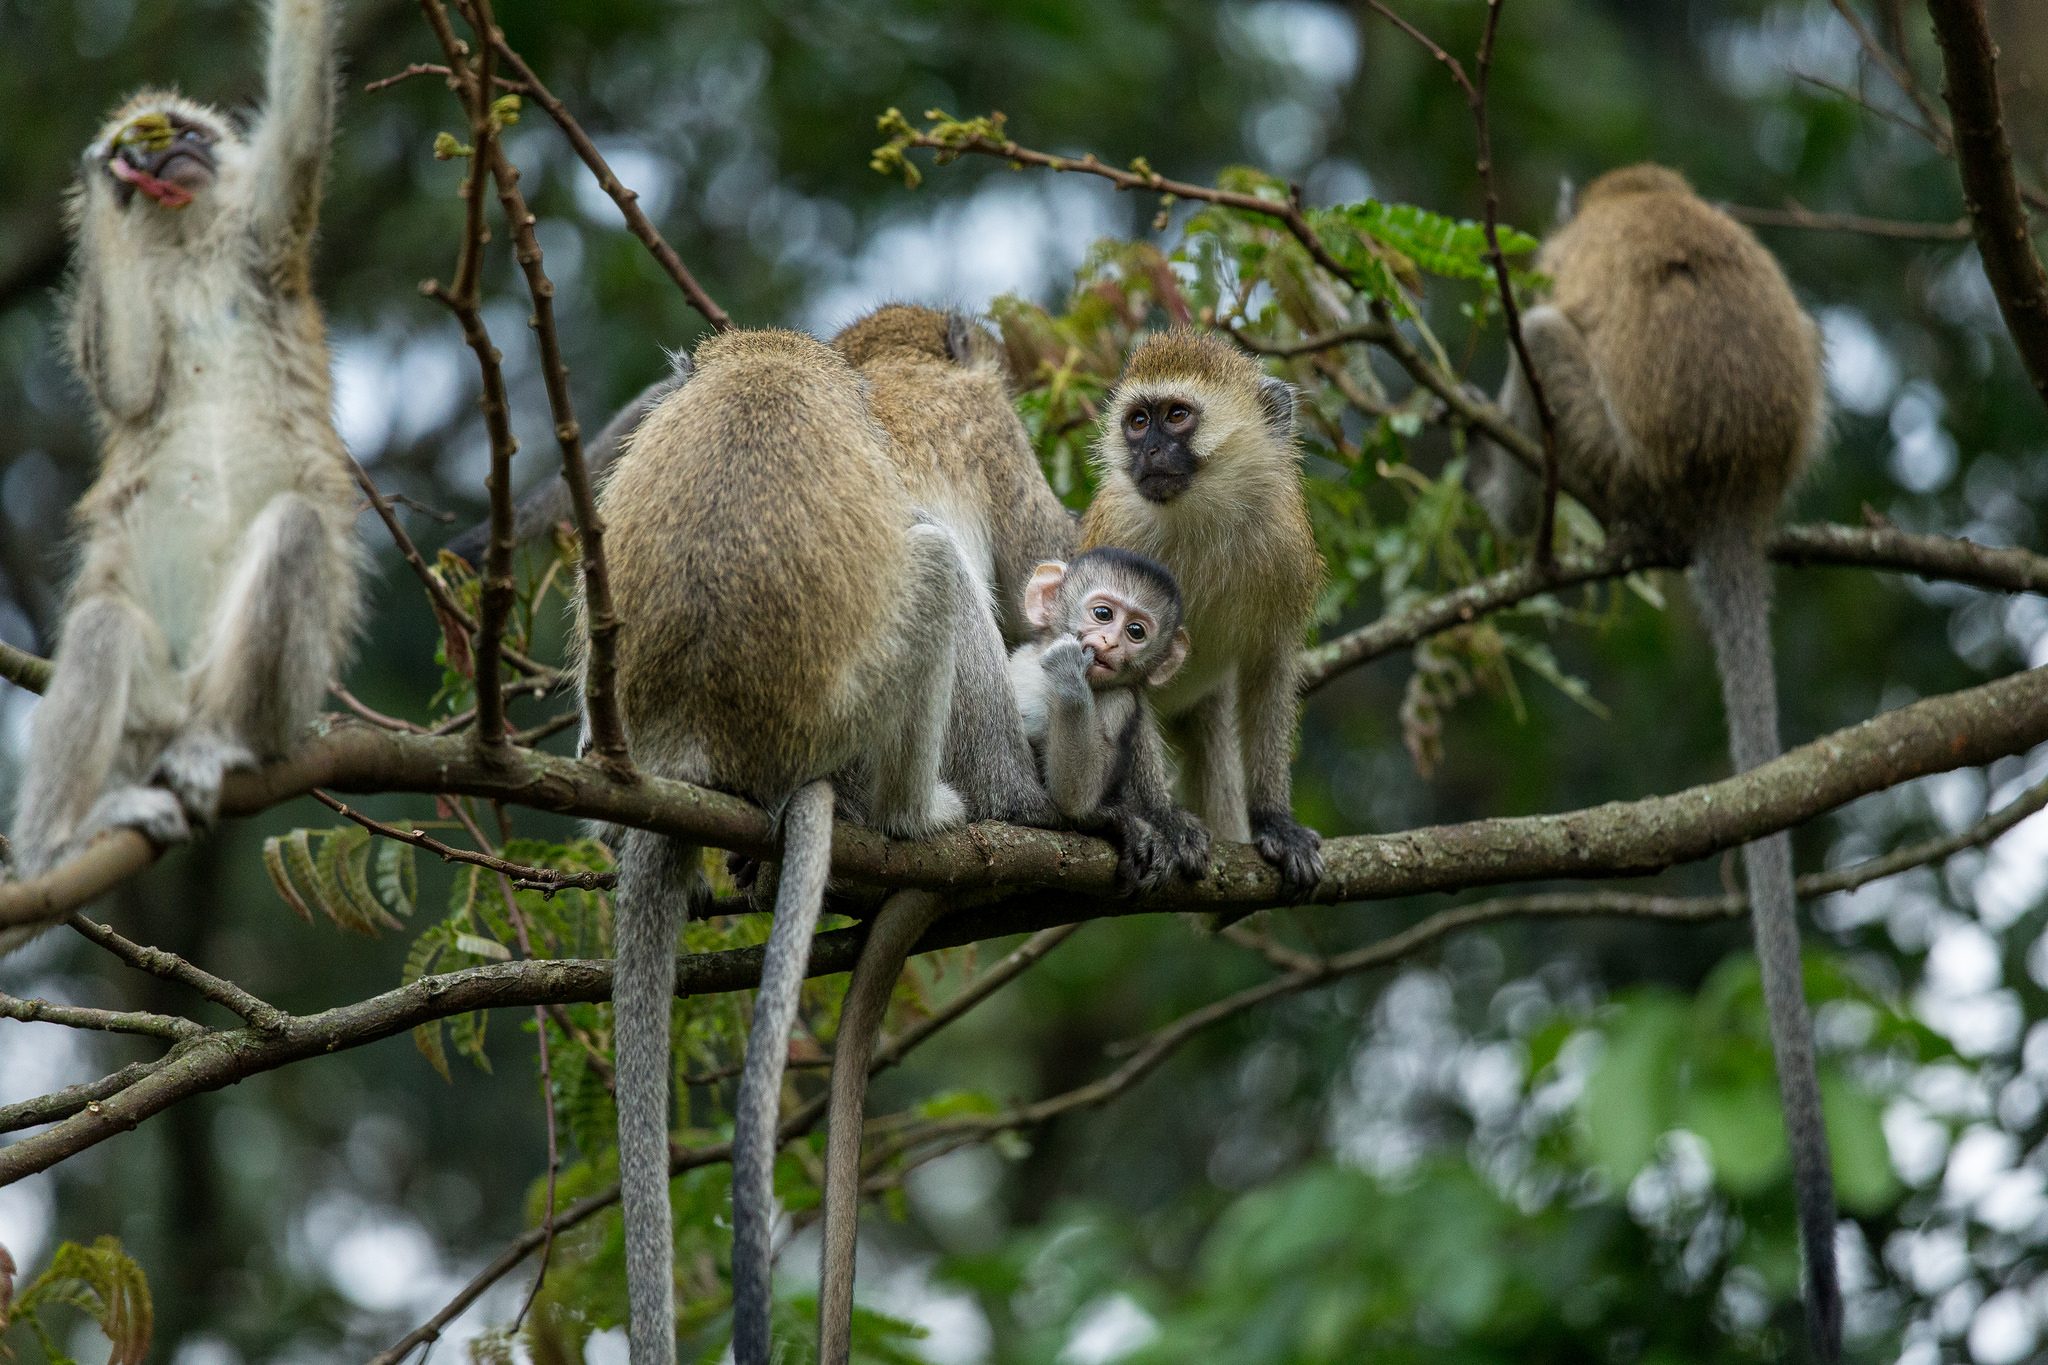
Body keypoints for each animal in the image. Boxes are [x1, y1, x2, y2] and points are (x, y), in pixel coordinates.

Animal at [4, 0, 360, 949]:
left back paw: (223, 743)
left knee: (295, 531)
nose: (178, 157)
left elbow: (301, 128)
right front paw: (104, 175)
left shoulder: (265, 233)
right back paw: (52, 850)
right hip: (147, 709)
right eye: (158, 150)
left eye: (194, 136)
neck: (192, 245)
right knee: (103, 627)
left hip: (265, 693)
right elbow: (128, 380)